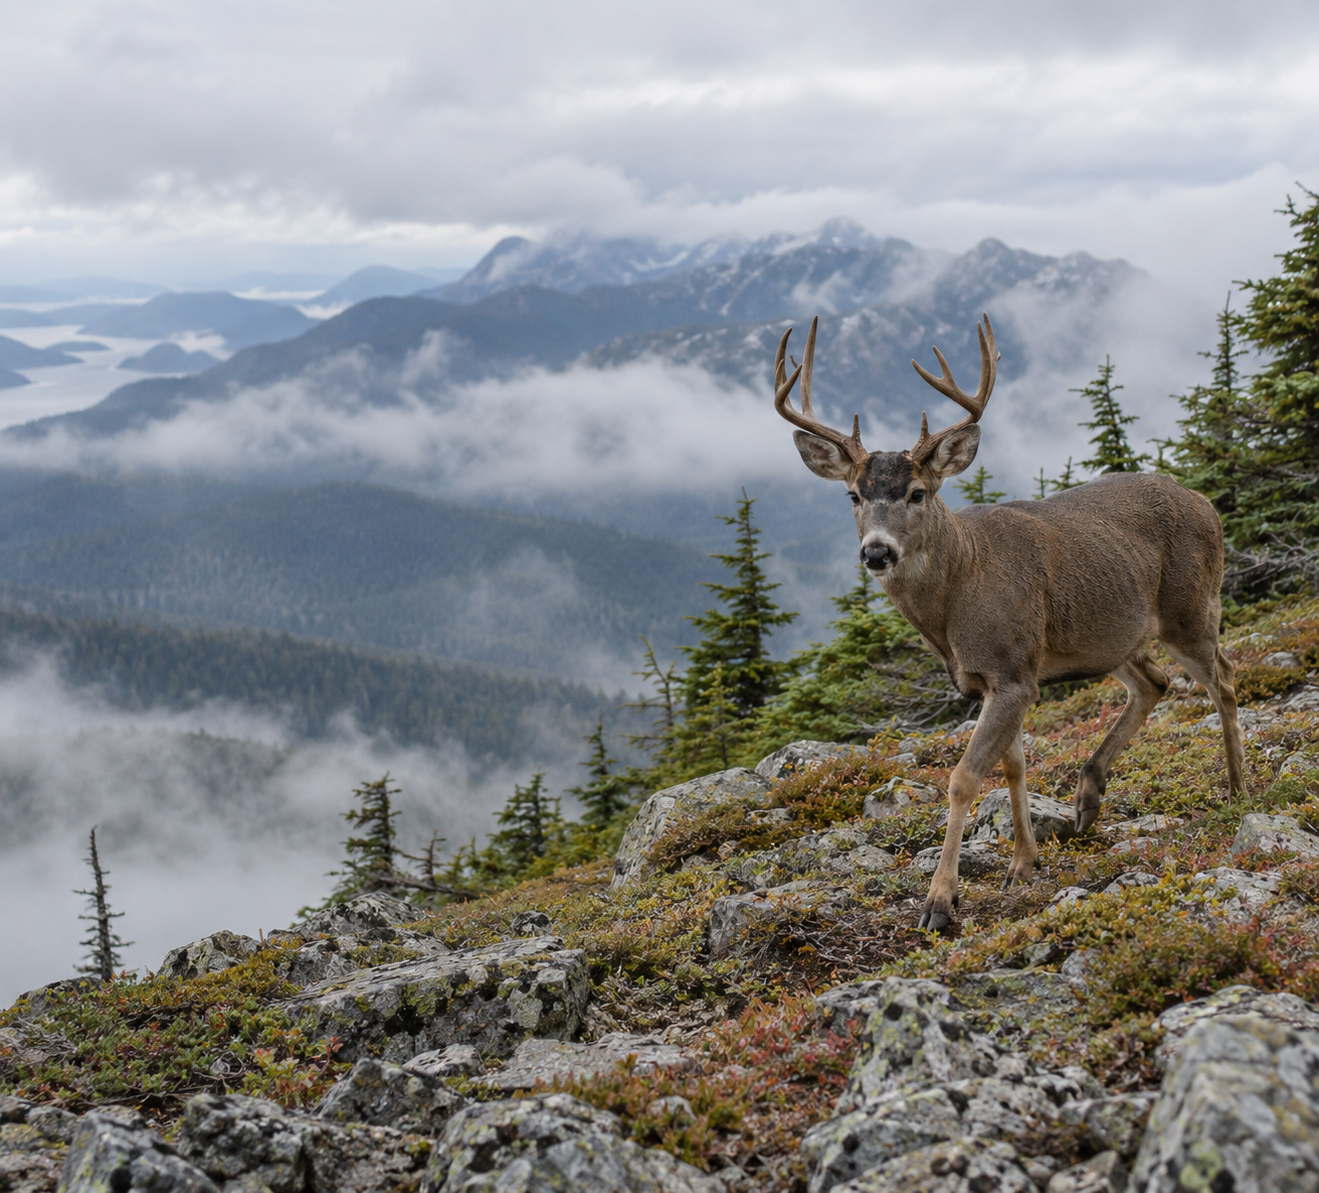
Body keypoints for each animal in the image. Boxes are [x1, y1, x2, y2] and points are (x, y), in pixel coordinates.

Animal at [774, 313, 1244, 931]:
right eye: (853, 495)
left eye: (917, 492)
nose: (876, 551)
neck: (956, 604)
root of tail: (1205, 502)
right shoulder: (999, 676)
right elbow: (1016, 765)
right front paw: (1023, 863)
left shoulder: (1014, 671)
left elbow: (964, 777)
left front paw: (940, 901)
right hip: (1113, 638)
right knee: (1155, 683)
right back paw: (1087, 799)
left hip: (1190, 606)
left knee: (1223, 679)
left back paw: (1237, 789)